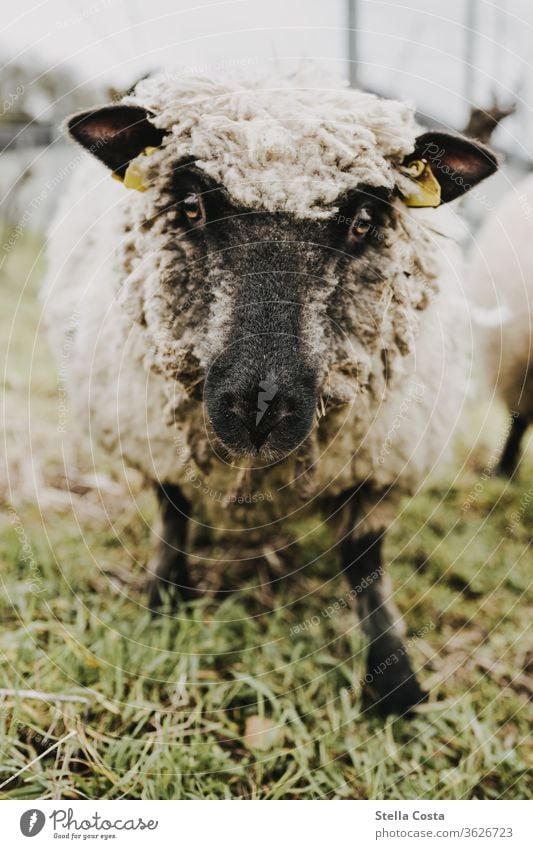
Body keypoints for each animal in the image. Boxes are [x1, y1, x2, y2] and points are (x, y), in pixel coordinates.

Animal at [42, 69, 498, 712]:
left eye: (363, 221)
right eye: (191, 206)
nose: (259, 409)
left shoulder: (380, 460)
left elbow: (364, 559)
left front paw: (395, 681)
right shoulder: (155, 433)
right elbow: (173, 514)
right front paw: (164, 602)